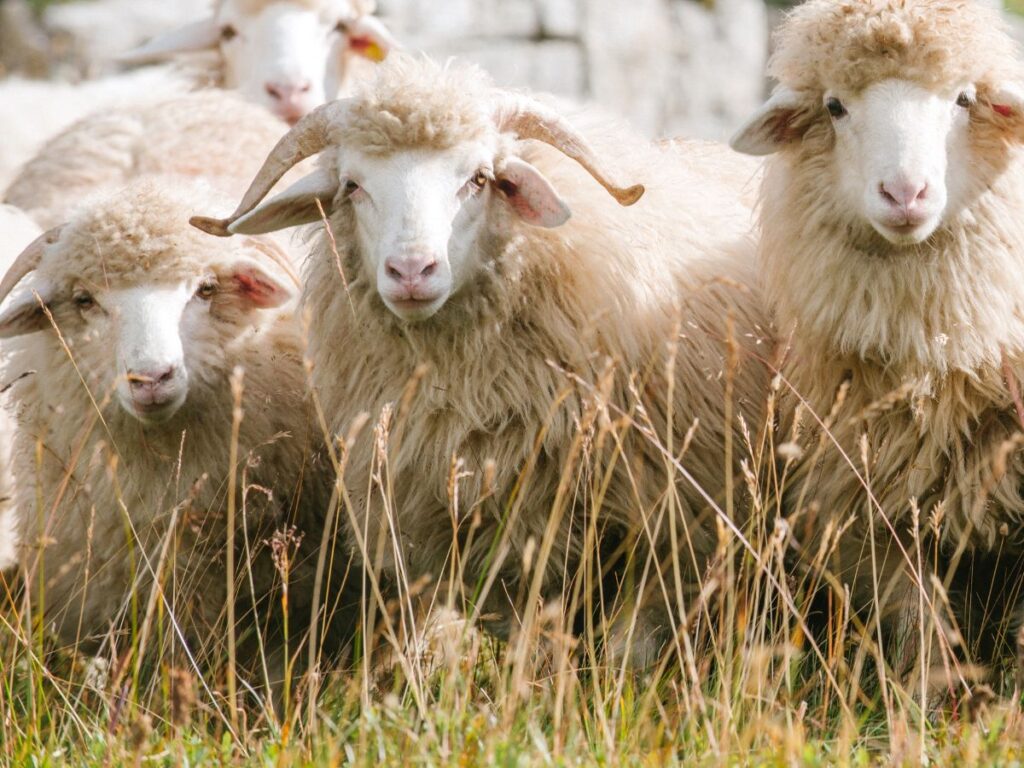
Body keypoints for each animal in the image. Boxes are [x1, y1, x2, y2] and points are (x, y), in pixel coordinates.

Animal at [729, 0, 1024, 691]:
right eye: (835, 106)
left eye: (964, 99)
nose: (905, 194)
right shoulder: (878, 509)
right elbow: (921, 623)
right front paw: (931, 699)